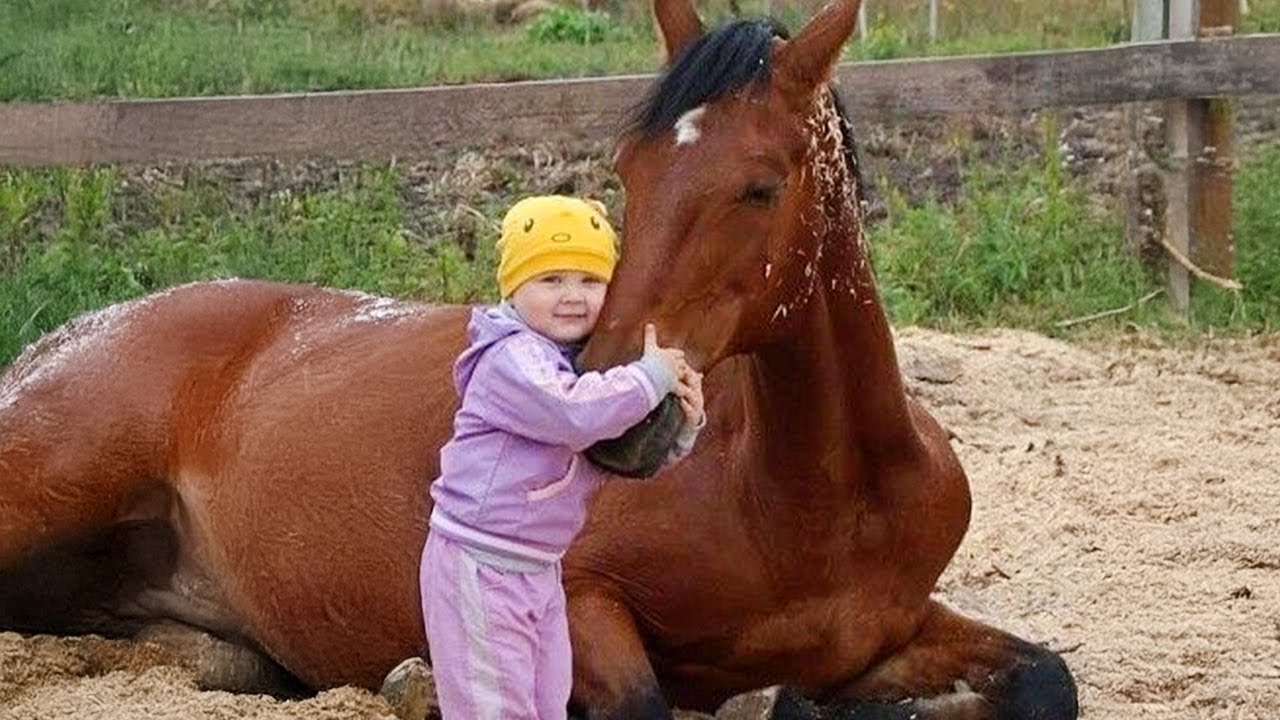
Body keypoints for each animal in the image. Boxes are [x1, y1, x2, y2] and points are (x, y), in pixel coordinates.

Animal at [0, 0, 1079, 717]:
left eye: (761, 187)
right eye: (628, 174)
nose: (625, 424)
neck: (813, 495)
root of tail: (57, 342)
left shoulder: (890, 629)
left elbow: (1045, 677)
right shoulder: (575, 598)